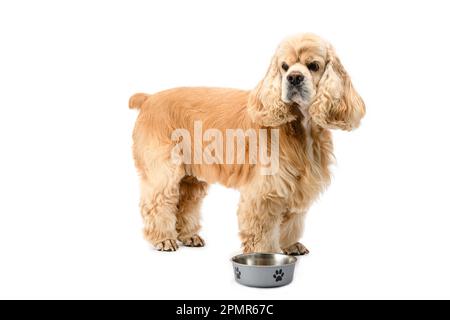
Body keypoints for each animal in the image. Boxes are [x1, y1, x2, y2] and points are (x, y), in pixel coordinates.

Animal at [128, 31, 364, 254]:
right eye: (284, 66)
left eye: (313, 65)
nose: (294, 78)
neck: (300, 126)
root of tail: (149, 98)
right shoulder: (265, 189)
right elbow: (262, 229)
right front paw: (264, 253)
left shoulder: (297, 185)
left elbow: (292, 221)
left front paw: (290, 245)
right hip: (164, 169)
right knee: (157, 202)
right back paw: (163, 239)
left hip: (191, 176)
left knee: (186, 202)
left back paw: (189, 236)